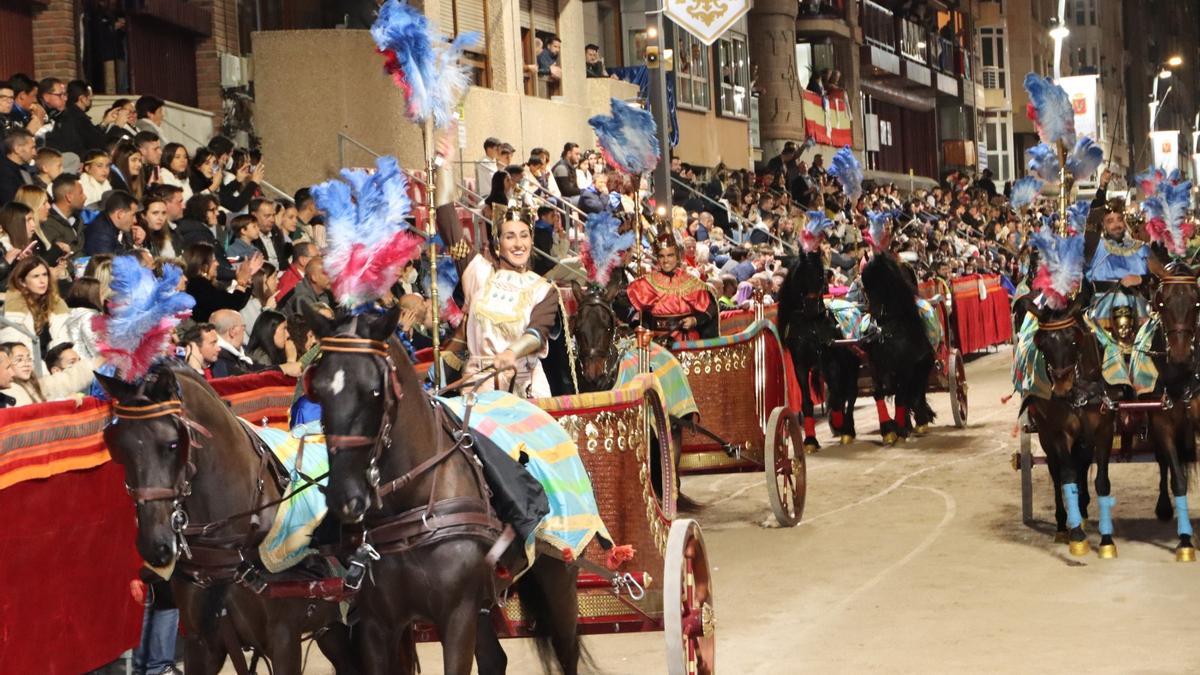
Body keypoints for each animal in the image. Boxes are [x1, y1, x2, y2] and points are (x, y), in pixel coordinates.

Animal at [298, 306, 580, 672]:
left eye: (375, 390)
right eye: (318, 390)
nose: (345, 497)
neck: (413, 512)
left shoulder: (457, 615)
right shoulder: (377, 624)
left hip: (558, 577)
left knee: (568, 649)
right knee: (494, 659)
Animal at [777, 249, 864, 449]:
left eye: (820, 275)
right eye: (801, 275)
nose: (811, 307)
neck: (811, 326)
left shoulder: (829, 360)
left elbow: (838, 396)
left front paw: (839, 424)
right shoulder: (800, 365)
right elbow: (807, 402)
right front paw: (810, 440)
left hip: (851, 362)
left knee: (850, 392)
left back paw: (847, 429)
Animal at [864, 252, 936, 441]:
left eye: (884, 281)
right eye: (864, 283)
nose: (874, 313)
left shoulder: (906, 367)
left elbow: (901, 397)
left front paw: (900, 428)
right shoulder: (876, 366)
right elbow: (879, 392)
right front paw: (888, 429)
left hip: (922, 366)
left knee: (915, 393)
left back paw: (919, 421)